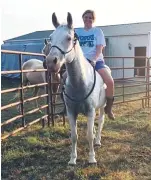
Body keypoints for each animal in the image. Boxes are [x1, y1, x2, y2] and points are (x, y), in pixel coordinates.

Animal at [45, 12, 107, 165]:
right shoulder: (71, 112)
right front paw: (73, 159)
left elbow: (89, 135)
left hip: (102, 106)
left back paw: (98, 141)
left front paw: (92, 158)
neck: (80, 83)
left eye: (69, 38)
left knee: (101, 122)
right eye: (51, 38)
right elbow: (74, 135)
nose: (50, 62)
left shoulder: (90, 111)